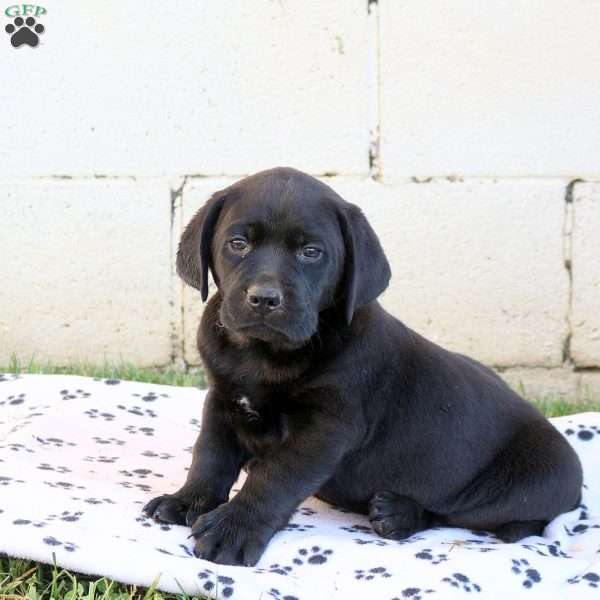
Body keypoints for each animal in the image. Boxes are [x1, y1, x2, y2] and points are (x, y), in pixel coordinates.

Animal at [143, 166, 584, 564]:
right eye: (238, 243)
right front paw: (187, 501)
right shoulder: (223, 399)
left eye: (311, 252)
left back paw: (398, 514)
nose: (264, 299)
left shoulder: (324, 429)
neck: (264, 354)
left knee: (458, 514)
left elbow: (274, 478)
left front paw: (234, 529)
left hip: (519, 485)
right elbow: (210, 457)